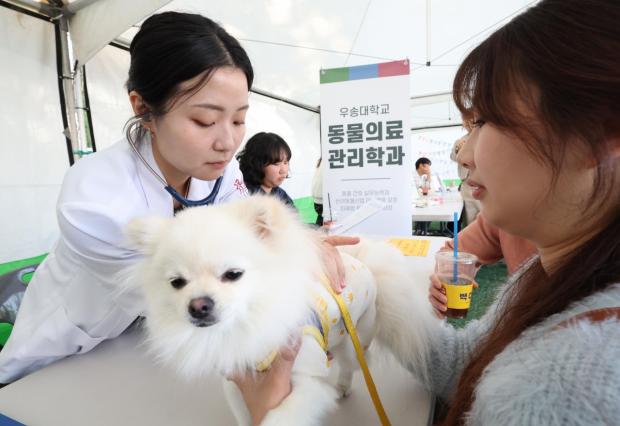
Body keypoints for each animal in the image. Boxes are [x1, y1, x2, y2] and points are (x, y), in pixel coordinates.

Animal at [125, 195, 437, 426]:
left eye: (233, 274)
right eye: (176, 283)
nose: (198, 306)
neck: (247, 324)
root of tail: (363, 262)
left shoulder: (305, 380)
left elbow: (278, 418)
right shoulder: (237, 383)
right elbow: (245, 416)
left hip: (356, 336)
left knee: (350, 364)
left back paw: (343, 386)